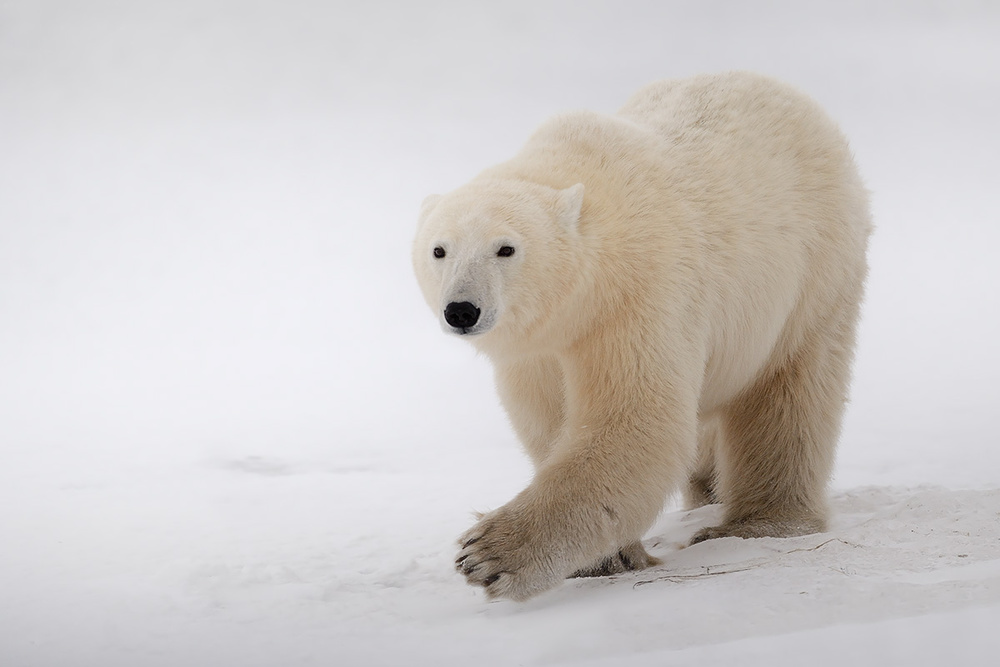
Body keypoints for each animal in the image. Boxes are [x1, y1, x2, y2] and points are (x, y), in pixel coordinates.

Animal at [410, 72, 872, 600]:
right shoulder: (536, 348)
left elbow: (636, 421)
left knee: (788, 396)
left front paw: (489, 553)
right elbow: (552, 423)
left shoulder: (638, 297)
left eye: (506, 248)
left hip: (812, 275)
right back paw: (706, 493)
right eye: (439, 250)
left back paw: (758, 523)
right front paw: (607, 558)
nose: (462, 310)